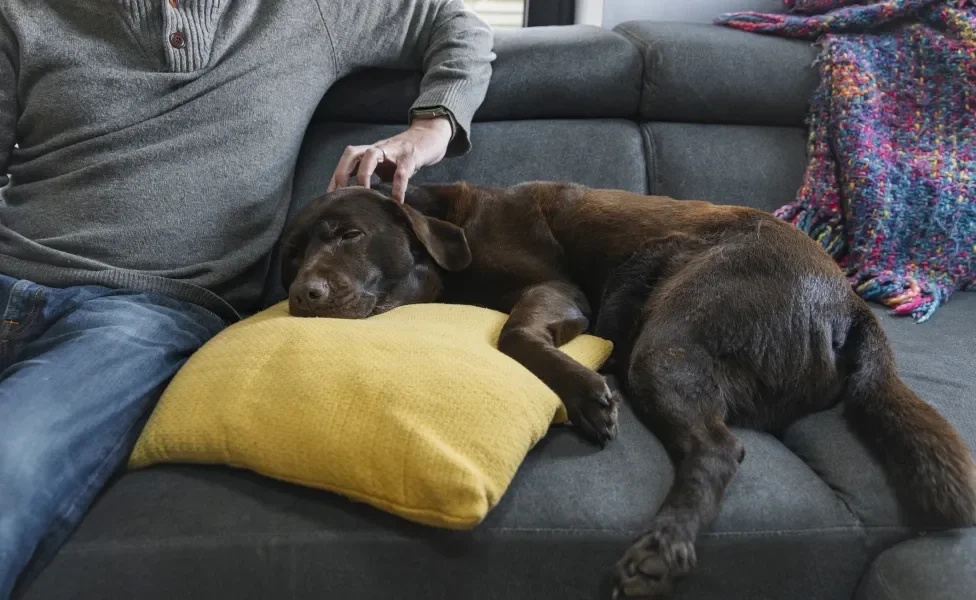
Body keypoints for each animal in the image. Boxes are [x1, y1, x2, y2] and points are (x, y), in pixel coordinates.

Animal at [280, 183, 976, 600]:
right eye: (294, 252)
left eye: (348, 235)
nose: (300, 294)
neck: (452, 232)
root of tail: (847, 300)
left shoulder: (560, 290)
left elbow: (514, 334)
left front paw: (585, 393)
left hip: (671, 335)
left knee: (718, 449)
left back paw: (660, 552)